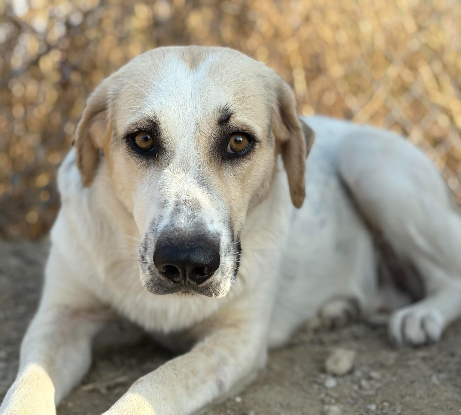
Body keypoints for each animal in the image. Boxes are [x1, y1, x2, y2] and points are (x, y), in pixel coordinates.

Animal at [2, 46, 461, 415]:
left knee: (447, 277)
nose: (185, 264)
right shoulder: (62, 316)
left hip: (369, 161)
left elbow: (154, 383)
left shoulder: (238, 342)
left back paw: (421, 316)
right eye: (144, 139)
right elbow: (25, 386)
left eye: (238, 142)